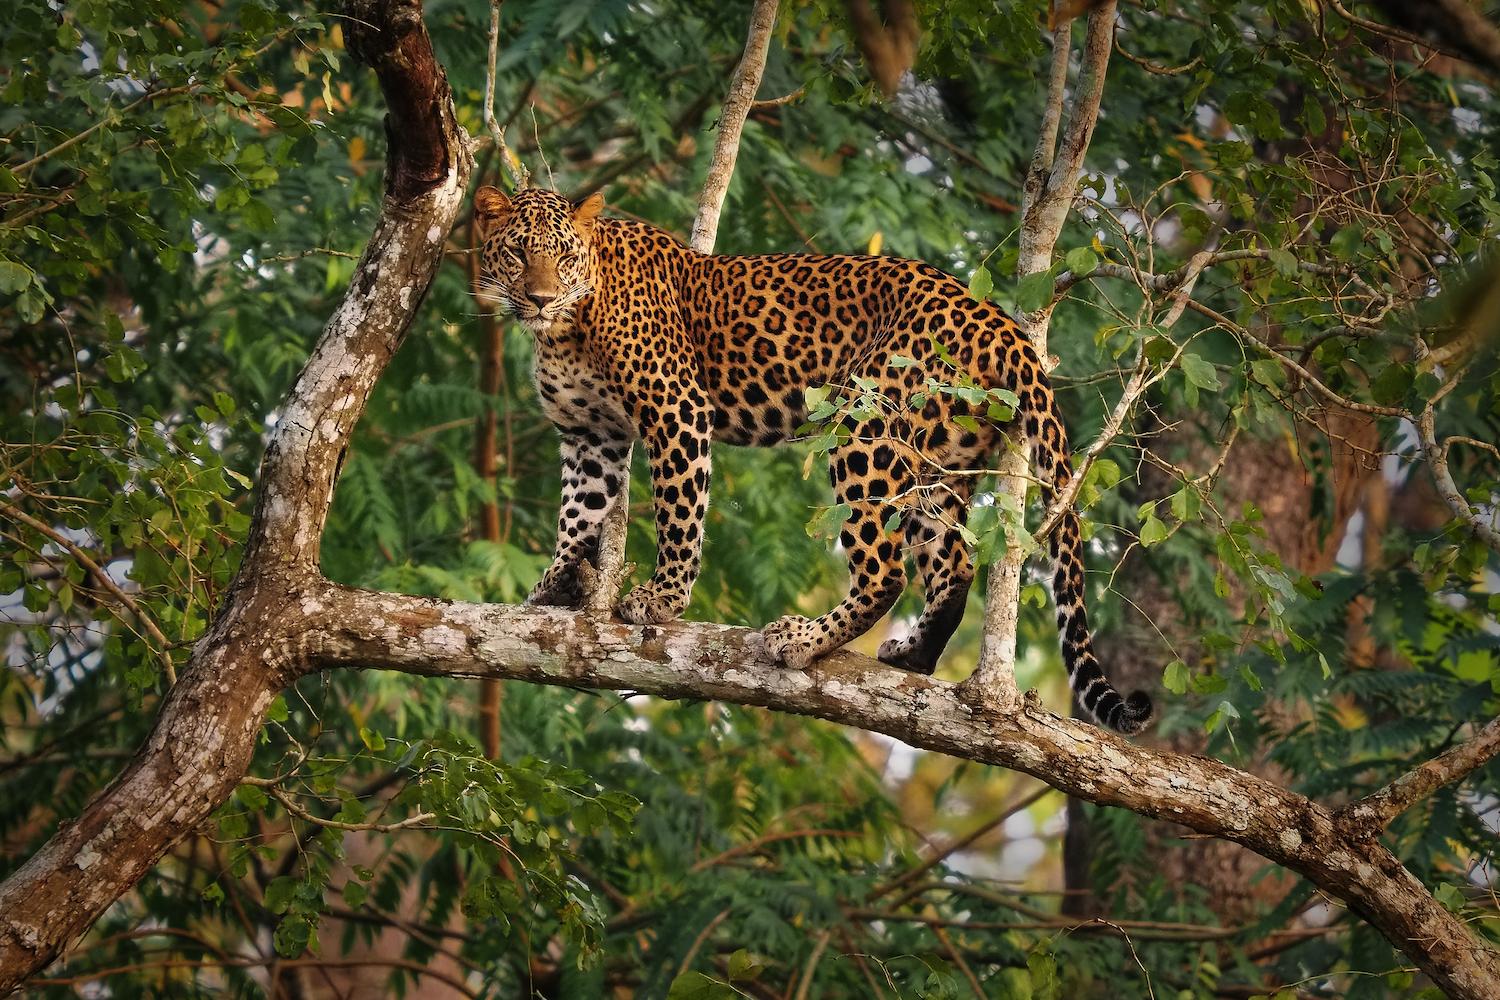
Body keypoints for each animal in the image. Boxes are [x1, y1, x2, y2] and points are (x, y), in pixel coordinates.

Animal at [474, 187, 1152, 734]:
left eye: (563, 256)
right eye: (518, 253)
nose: (540, 298)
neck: (566, 329)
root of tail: (998, 322)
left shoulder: (676, 408)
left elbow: (680, 515)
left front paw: (662, 601)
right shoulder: (591, 435)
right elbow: (578, 512)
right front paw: (553, 585)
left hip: (866, 426)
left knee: (886, 571)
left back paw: (801, 640)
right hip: (938, 456)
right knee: (953, 562)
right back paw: (914, 655)